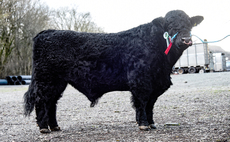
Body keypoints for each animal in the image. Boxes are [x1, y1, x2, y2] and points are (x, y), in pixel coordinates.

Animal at [23, 10, 203, 133]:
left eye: (189, 24)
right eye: (170, 25)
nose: (186, 39)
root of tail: (47, 32)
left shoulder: (156, 84)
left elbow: (151, 104)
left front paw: (152, 123)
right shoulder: (141, 82)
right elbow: (142, 103)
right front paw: (144, 124)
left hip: (58, 82)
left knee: (52, 103)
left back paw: (54, 126)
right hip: (46, 79)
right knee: (41, 101)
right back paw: (44, 128)